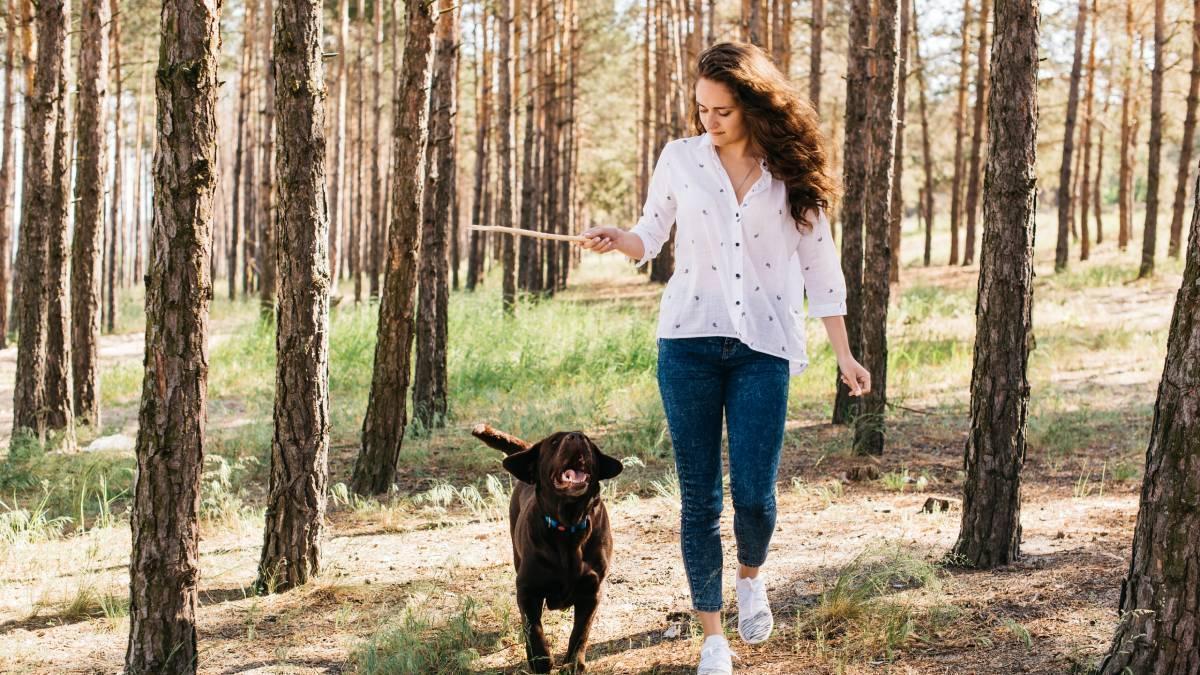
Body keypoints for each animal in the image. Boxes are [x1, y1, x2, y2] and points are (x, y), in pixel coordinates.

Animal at [468, 422, 624, 667]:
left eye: (589, 441)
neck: (568, 527)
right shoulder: (527, 588)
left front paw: (572, 664)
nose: (577, 436)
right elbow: (534, 629)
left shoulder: (592, 590)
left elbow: (581, 631)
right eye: (554, 442)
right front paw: (541, 661)